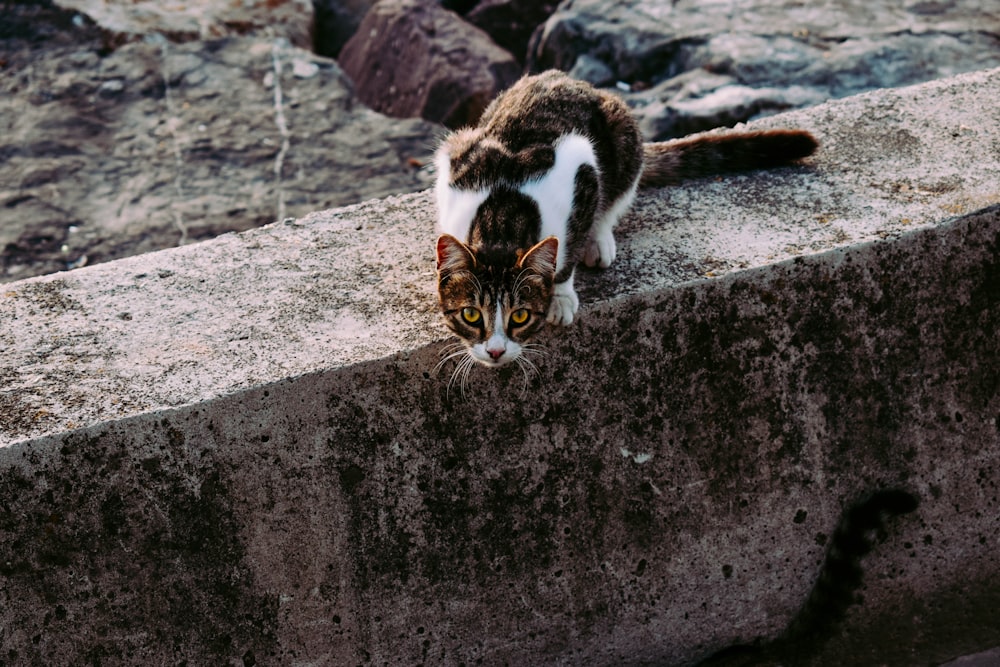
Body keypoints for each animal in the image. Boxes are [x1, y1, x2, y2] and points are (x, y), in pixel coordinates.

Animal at [434, 72, 816, 370]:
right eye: (470, 315)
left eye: (520, 316)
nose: (495, 352)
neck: (501, 217)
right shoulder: (457, 160)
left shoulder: (581, 169)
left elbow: (570, 246)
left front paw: (561, 294)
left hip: (623, 134)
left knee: (616, 192)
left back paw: (599, 239)